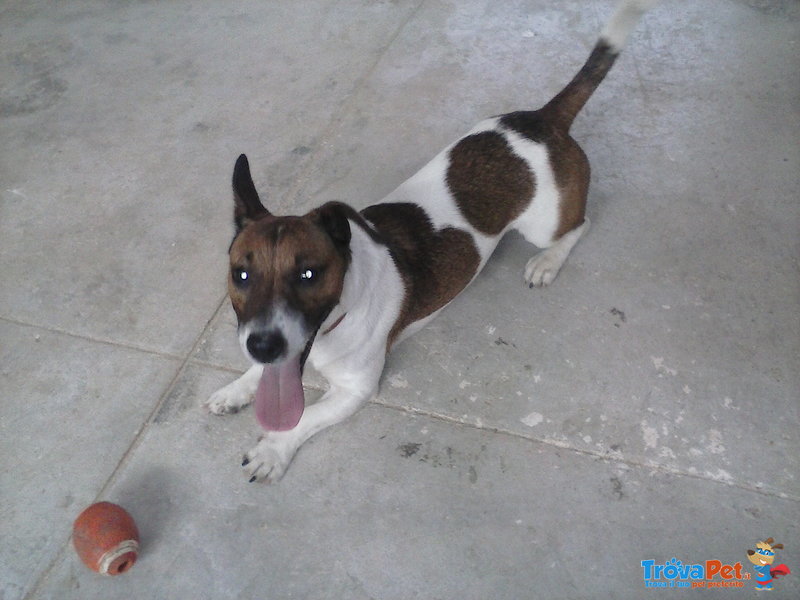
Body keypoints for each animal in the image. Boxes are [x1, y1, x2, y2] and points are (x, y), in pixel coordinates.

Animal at [205, 0, 656, 480]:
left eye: (309, 274)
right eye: (241, 275)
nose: (263, 344)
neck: (334, 323)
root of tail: (544, 118)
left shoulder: (356, 390)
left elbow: (305, 417)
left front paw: (273, 450)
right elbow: (261, 375)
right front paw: (237, 388)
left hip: (544, 225)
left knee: (578, 225)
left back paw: (548, 262)